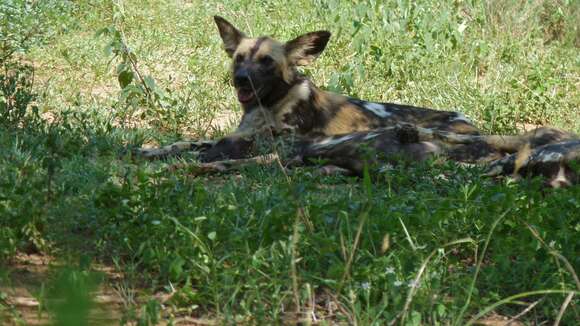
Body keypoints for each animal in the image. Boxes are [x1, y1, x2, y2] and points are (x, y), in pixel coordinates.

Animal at [137, 15, 580, 188]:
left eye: (267, 62)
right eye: (239, 57)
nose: (241, 79)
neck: (266, 107)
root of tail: (468, 122)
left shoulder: (266, 144)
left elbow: (215, 153)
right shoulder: (232, 137)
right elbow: (185, 143)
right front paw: (149, 150)